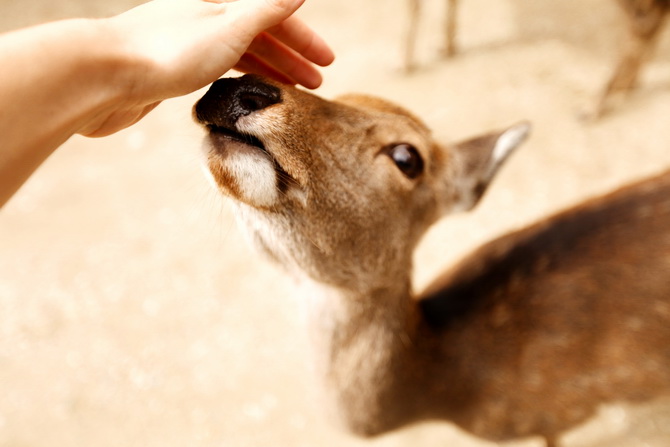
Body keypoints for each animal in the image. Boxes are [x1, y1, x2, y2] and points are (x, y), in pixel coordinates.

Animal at [406, 0, 668, 117]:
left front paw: (408, 65)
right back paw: (628, 86)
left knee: (644, 24)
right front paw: (448, 48)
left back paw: (595, 105)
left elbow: (414, 7)